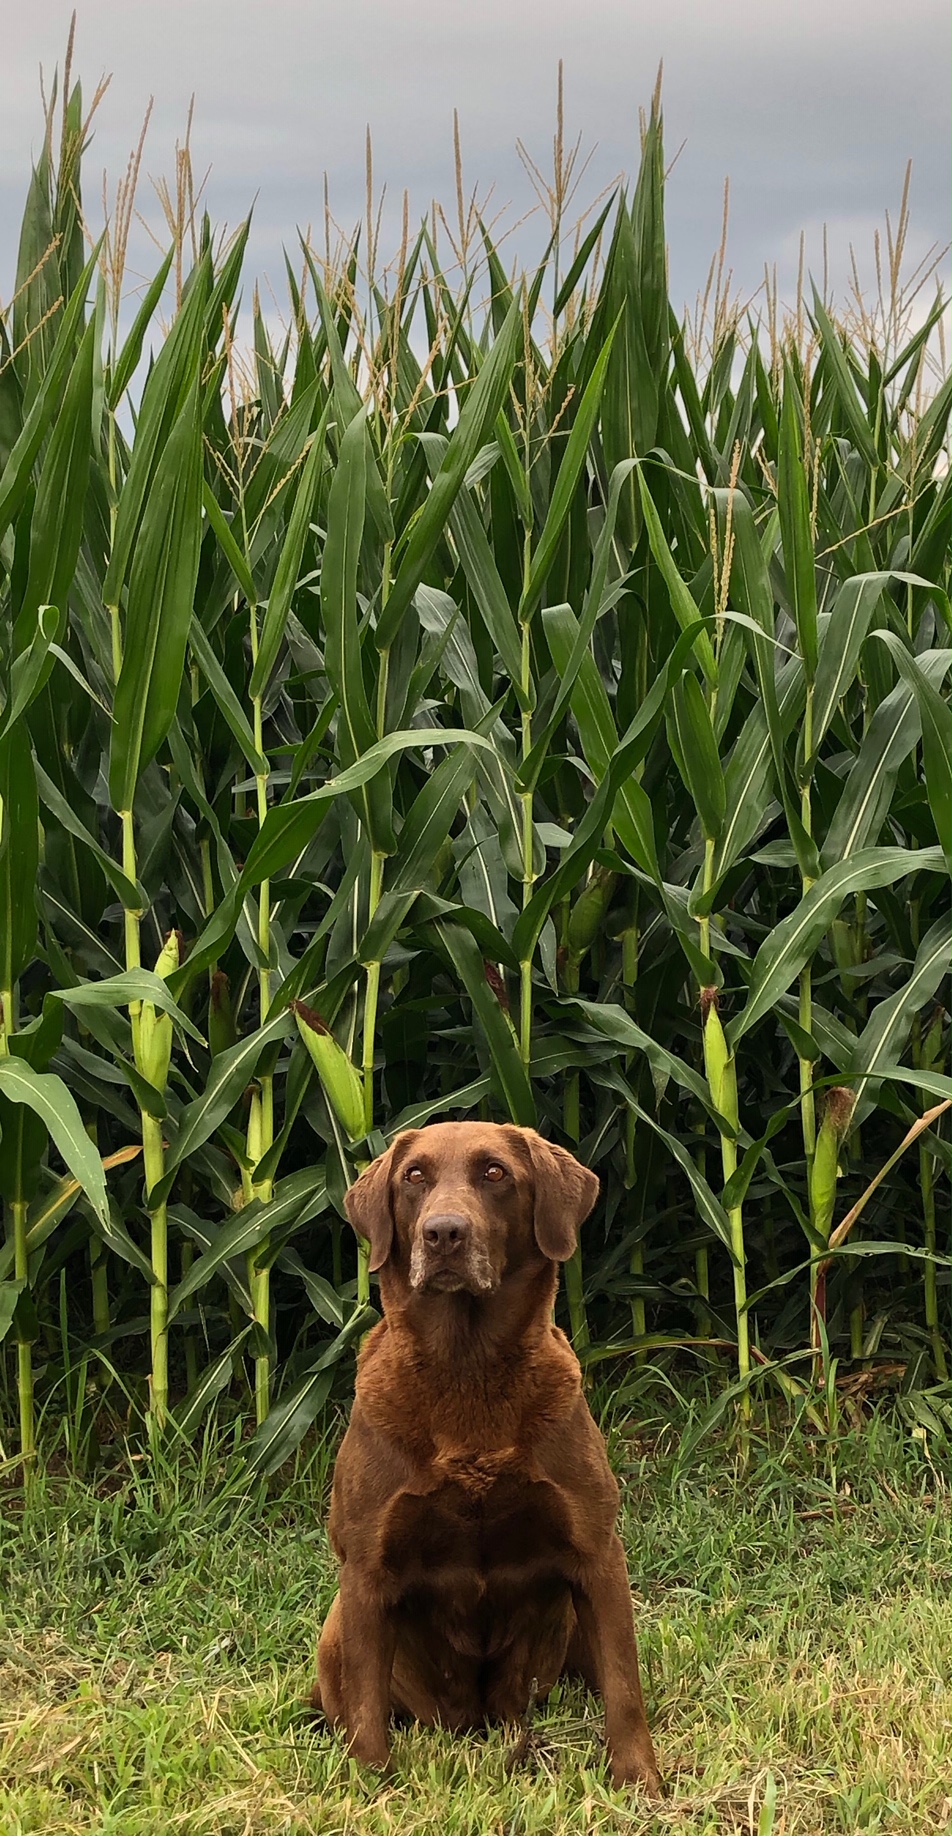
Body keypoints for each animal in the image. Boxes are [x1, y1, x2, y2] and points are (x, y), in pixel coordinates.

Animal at [315, 1116, 664, 1791]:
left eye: (495, 1173)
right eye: (414, 1177)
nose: (443, 1233)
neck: (467, 1368)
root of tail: (474, 1720)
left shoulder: (598, 1554)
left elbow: (624, 1686)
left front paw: (639, 1781)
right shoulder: (366, 1569)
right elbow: (367, 1704)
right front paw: (369, 1786)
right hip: (335, 1626)